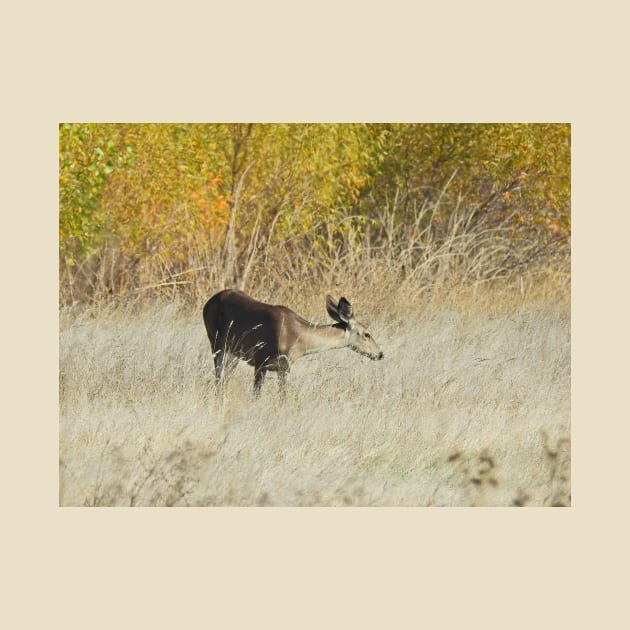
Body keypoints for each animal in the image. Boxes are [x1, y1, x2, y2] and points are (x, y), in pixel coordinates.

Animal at [204, 290, 386, 396]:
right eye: (367, 334)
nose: (380, 354)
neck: (297, 338)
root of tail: (208, 302)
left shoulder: (284, 366)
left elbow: (283, 395)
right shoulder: (261, 359)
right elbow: (257, 394)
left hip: (233, 352)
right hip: (216, 343)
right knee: (219, 377)